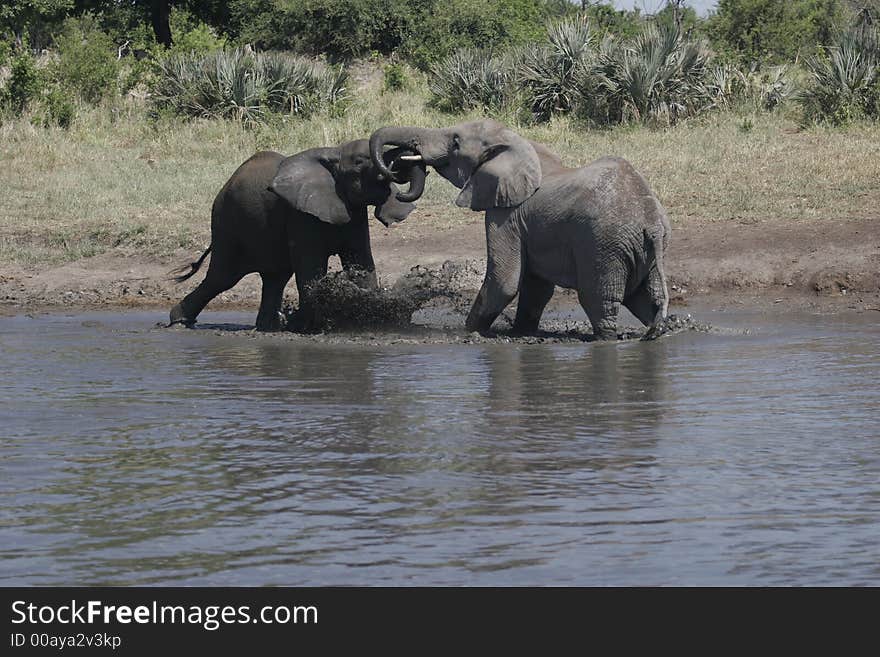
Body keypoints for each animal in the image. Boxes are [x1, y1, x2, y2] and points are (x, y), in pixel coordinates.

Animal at [169, 140, 426, 330]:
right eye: (360, 161)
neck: (335, 153)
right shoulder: (300, 215)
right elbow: (311, 268)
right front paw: (312, 325)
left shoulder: (354, 212)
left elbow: (360, 261)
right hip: (226, 223)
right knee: (223, 277)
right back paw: (179, 321)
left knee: (275, 277)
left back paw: (270, 327)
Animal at [368, 118, 672, 340]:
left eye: (455, 142)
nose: (394, 170)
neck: (515, 142)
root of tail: (652, 224)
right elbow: (536, 288)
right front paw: (521, 332)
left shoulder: (506, 216)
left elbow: (504, 281)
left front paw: (470, 331)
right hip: (639, 250)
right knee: (646, 298)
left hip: (602, 245)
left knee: (599, 299)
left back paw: (606, 338)